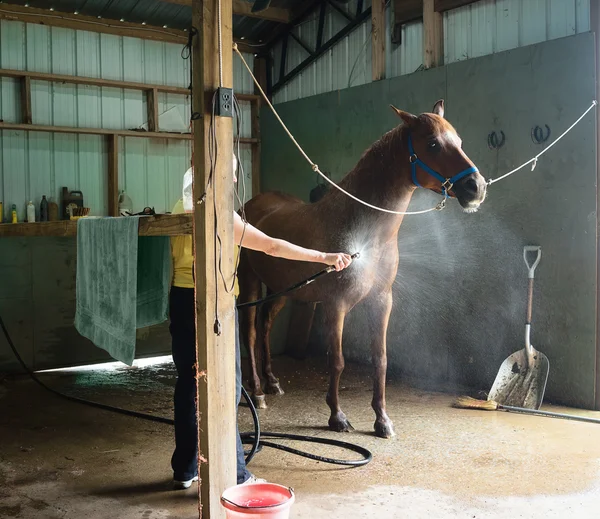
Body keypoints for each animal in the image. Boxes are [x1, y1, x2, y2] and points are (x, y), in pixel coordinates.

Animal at [237, 100, 486, 438]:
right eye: (432, 144)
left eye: (458, 142)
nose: (476, 188)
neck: (366, 235)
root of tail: (250, 205)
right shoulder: (336, 305)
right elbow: (337, 361)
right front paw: (337, 416)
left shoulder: (382, 301)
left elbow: (380, 359)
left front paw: (382, 420)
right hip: (250, 283)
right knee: (249, 331)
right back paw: (258, 391)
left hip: (281, 290)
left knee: (264, 326)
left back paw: (273, 382)